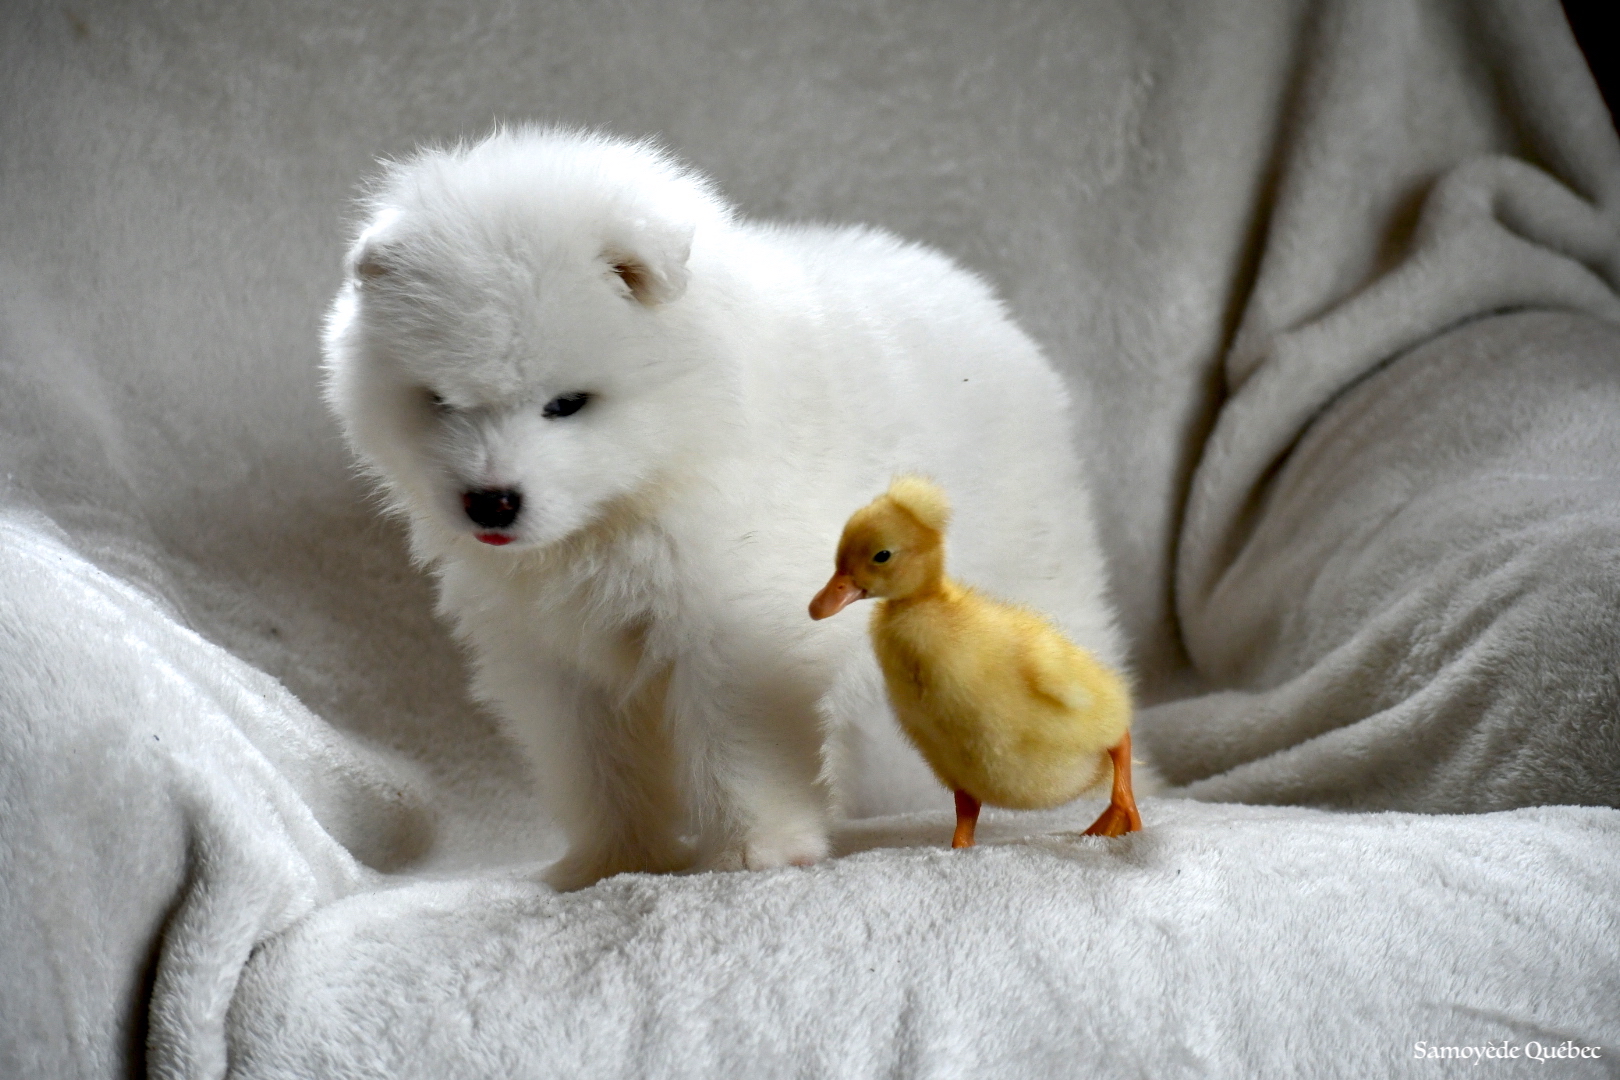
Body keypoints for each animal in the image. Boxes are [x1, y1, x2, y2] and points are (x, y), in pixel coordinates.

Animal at [322, 127, 1121, 893]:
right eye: (438, 401)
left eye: (567, 404)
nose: (490, 502)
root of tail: (984, 304)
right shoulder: (554, 654)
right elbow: (596, 764)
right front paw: (612, 860)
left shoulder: (733, 625)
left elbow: (739, 746)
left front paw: (753, 853)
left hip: (1029, 566)